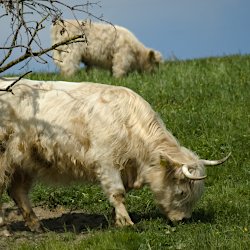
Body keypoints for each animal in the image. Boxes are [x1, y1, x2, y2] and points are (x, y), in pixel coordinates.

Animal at [0, 78, 229, 232]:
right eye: (181, 192)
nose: (183, 220)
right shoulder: (106, 162)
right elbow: (118, 192)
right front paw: (126, 222)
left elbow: (118, 194)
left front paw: (115, 218)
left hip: (22, 162)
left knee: (18, 191)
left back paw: (36, 225)